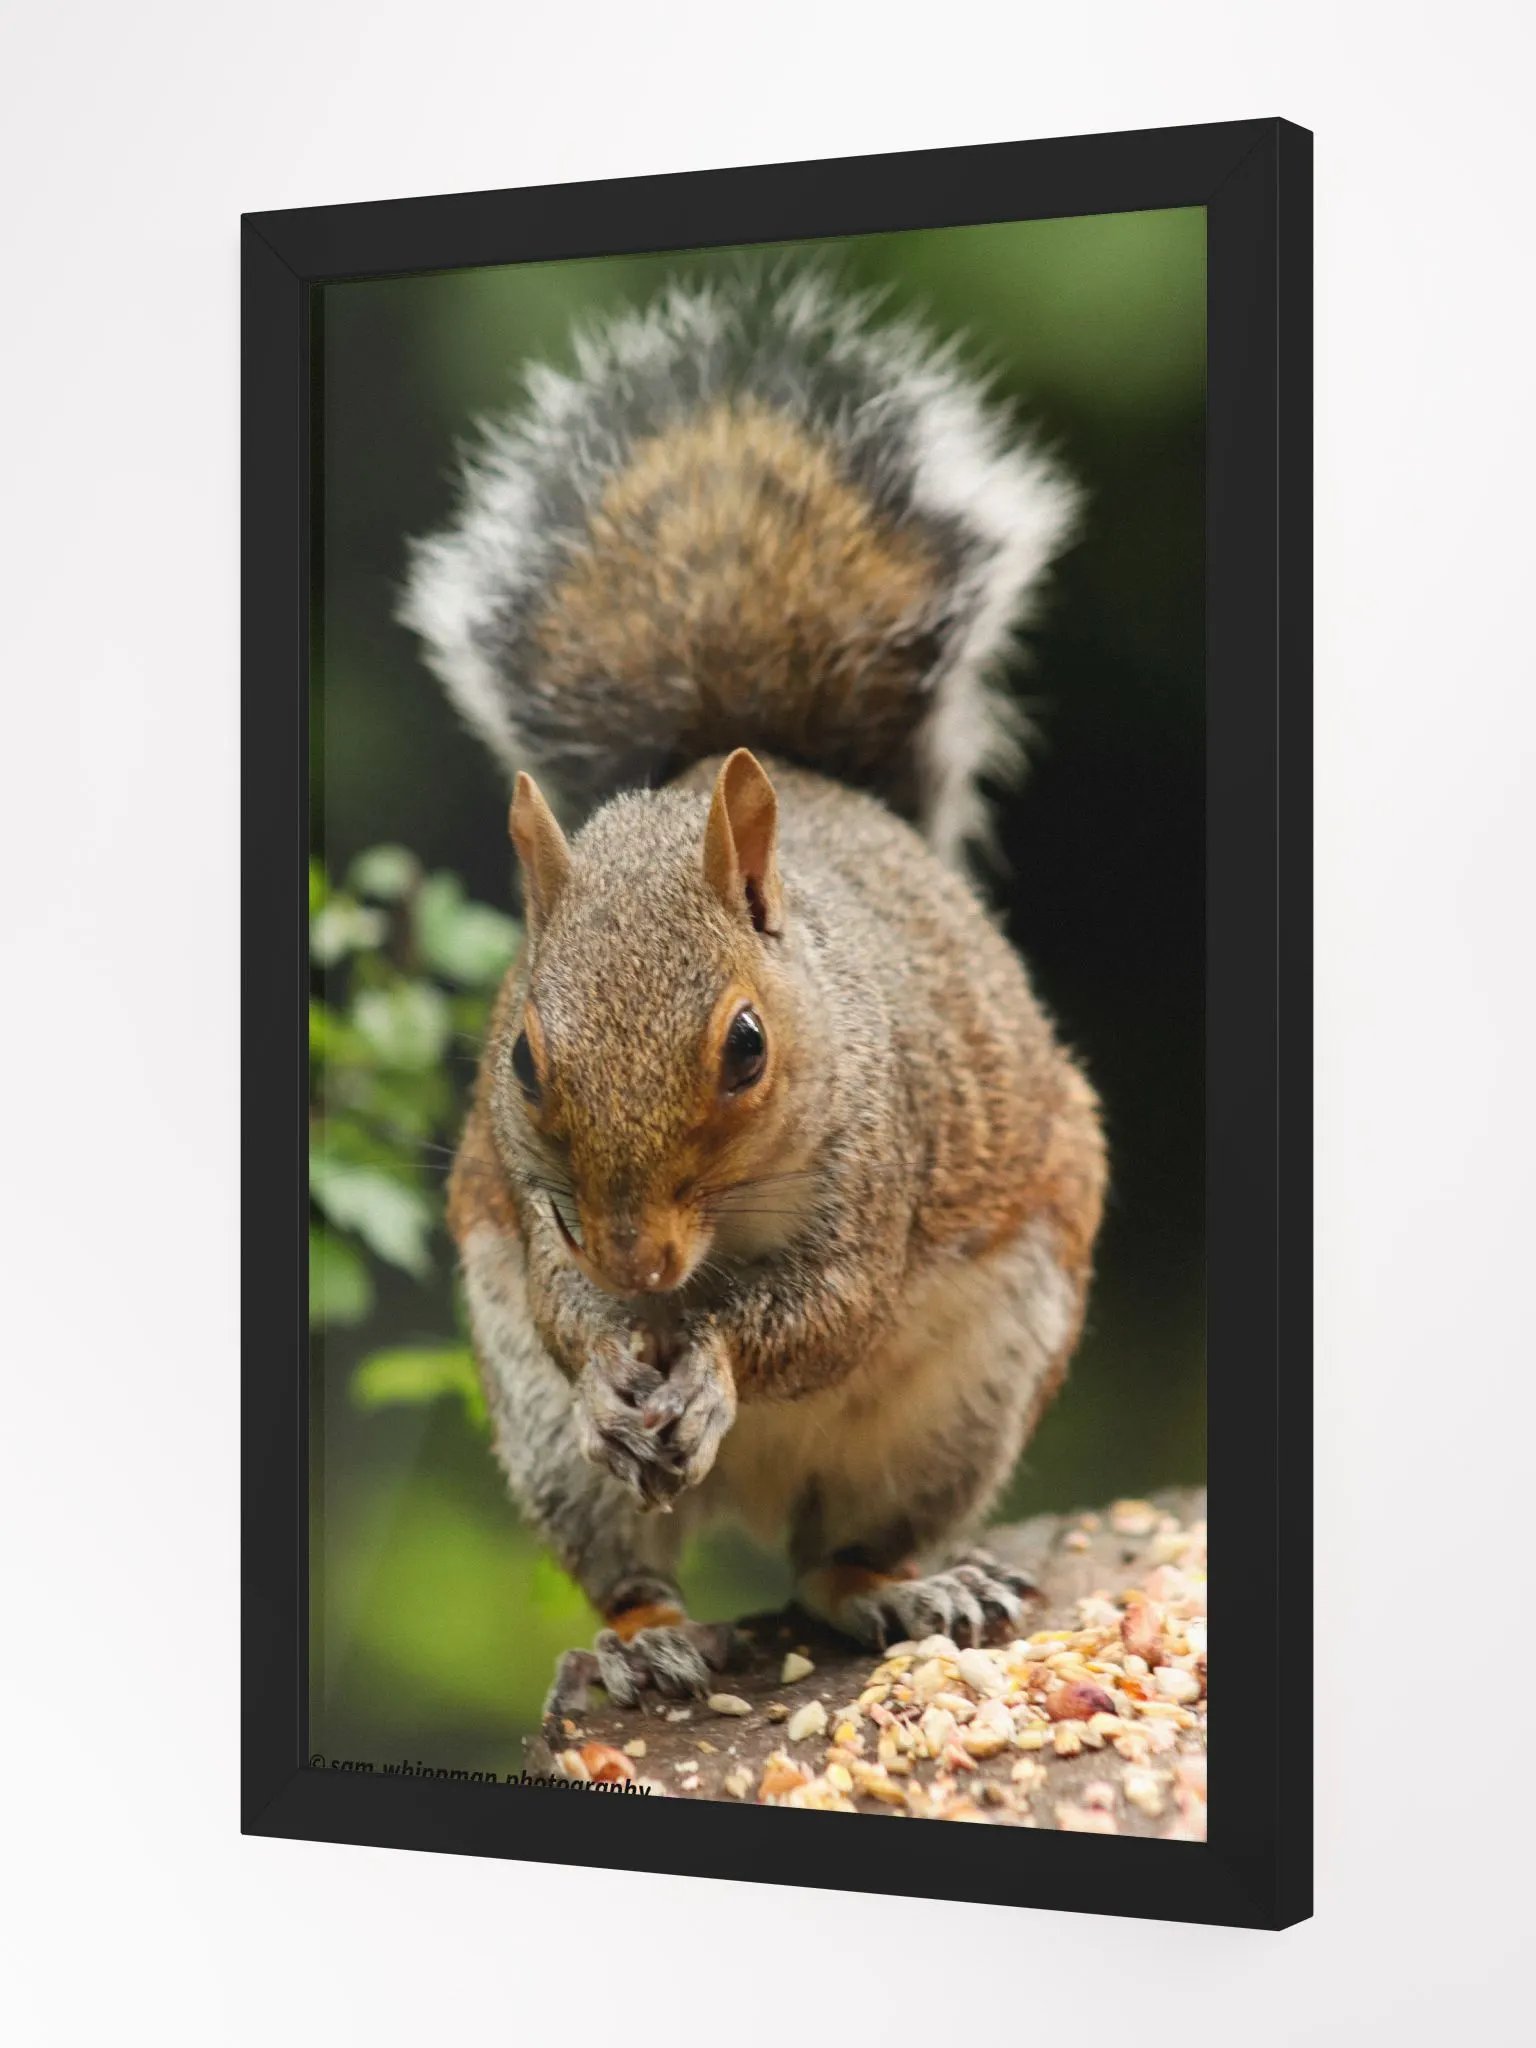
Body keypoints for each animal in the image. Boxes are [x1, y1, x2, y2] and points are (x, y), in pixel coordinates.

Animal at [400, 271, 1107, 1732]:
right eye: (521, 1060)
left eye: (746, 1046)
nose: (638, 1265)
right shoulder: (532, 1223)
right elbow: (563, 1311)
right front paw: (616, 1370)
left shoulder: (877, 1172)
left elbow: (825, 1315)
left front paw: (717, 1367)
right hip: (544, 1446)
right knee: (634, 1566)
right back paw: (637, 1641)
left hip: (967, 1395)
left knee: (836, 1560)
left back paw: (907, 1587)